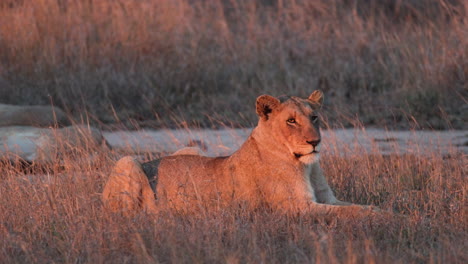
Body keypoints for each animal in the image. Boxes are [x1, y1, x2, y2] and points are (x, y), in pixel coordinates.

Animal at [101, 89, 376, 218]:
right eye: (291, 121)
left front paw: (382, 211)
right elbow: (351, 212)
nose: (315, 142)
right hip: (127, 161)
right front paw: (380, 218)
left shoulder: (327, 199)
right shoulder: (295, 207)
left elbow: (360, 206)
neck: (307, 166)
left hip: (192, 149)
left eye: (314, 117)